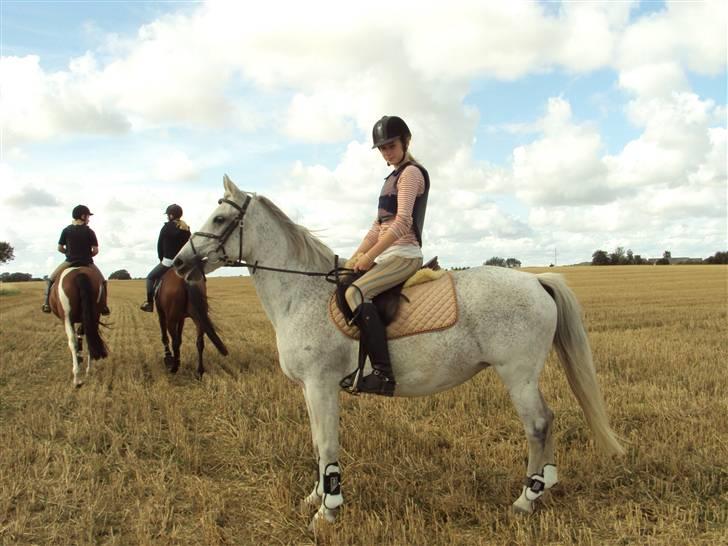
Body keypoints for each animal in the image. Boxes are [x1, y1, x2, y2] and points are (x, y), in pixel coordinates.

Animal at [172, 173, 624, 524]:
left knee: (539, 424)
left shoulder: (321, 384)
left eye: (220, 218)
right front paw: (315, 496)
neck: (302, 293)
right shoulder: (310, 389)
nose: (177, 262)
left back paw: (526, 499)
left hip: (518, 374)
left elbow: (327, 444)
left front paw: (327, 511)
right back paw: (545, 485)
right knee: (548, 420)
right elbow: (317, 442)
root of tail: (536, 281)